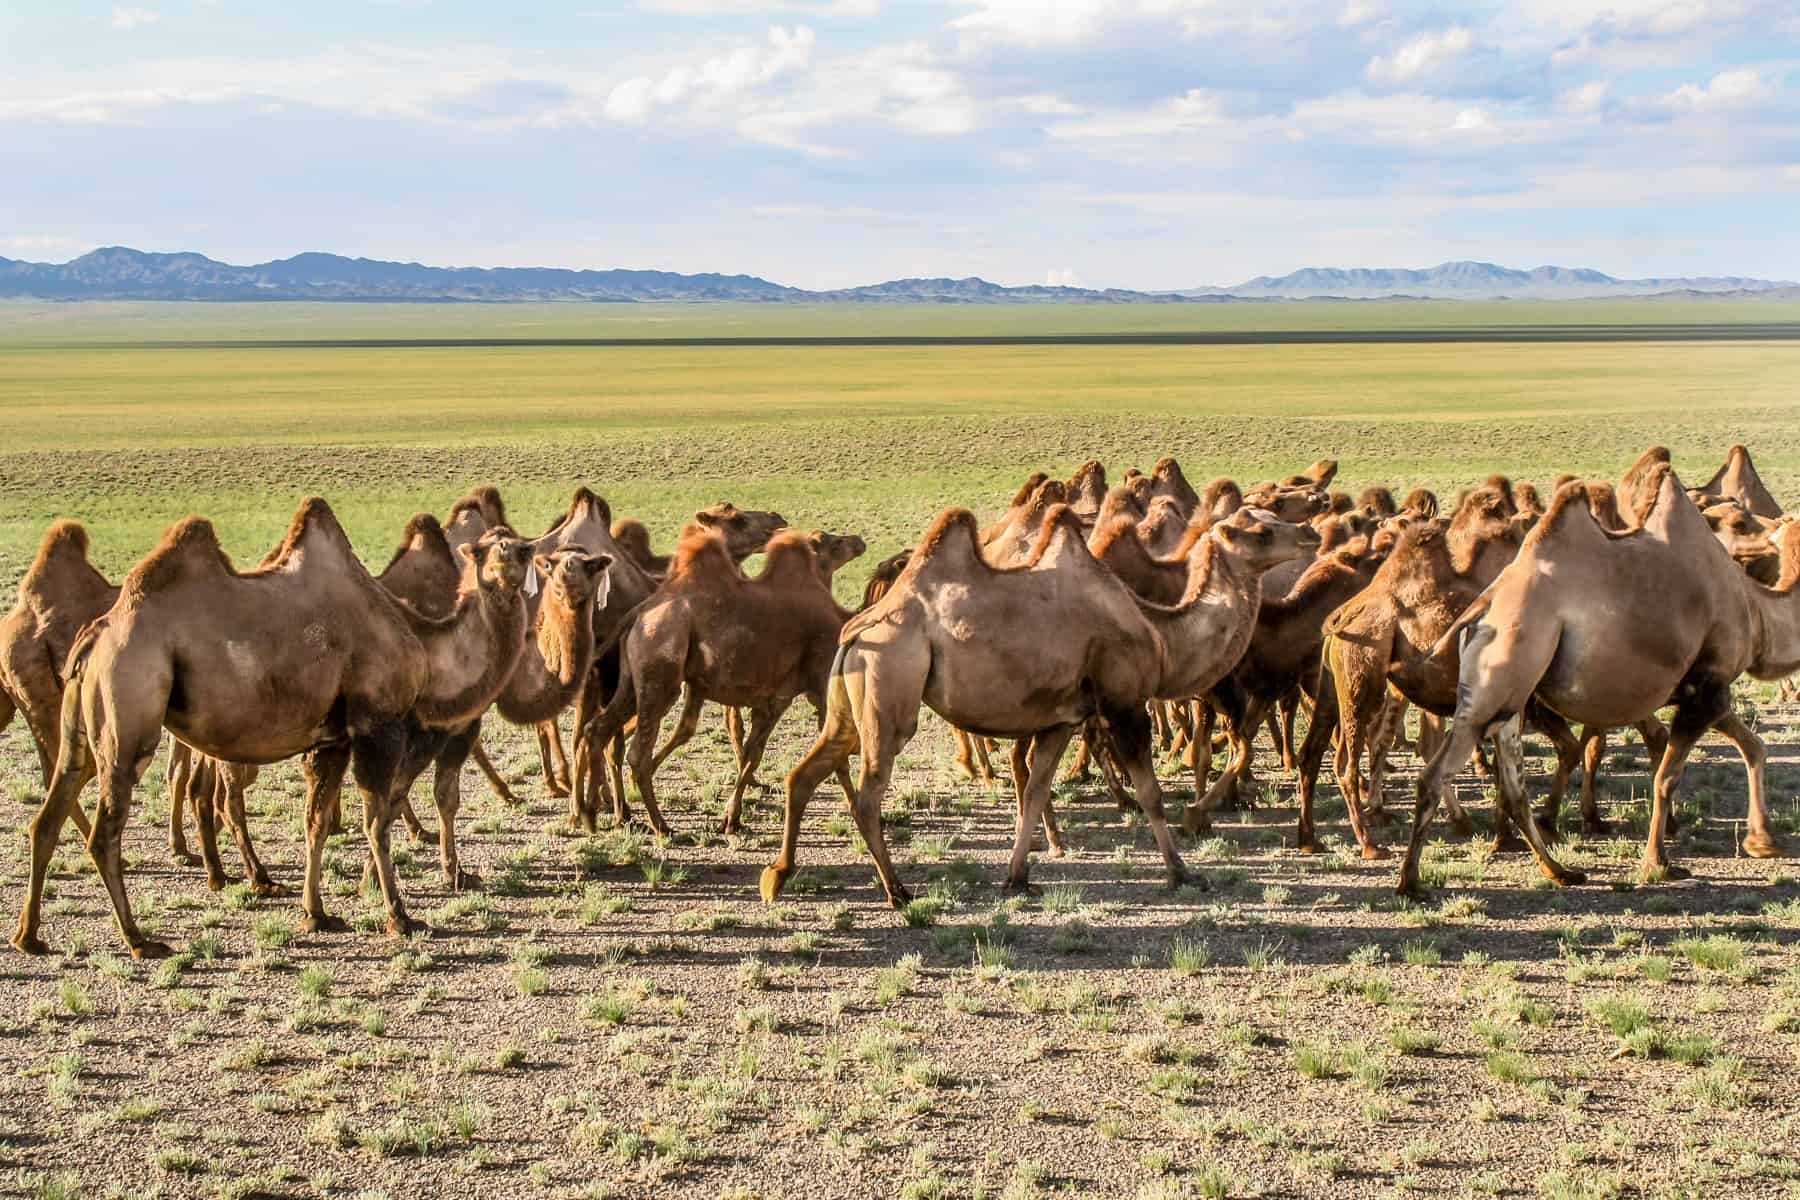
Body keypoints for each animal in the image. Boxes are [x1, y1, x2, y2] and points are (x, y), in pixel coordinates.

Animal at [583, 525, 849, 834]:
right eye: (836, 544)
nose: (859, 542)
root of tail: (638, 614)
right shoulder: (803, 690)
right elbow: (826, 754)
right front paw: (731, 819)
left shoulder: (774, 698)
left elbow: (751, 753)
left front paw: (731, 818)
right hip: (660, 668)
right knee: (637, 752)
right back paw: (660, 825)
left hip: (631, 680)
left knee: (598, 730)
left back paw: (603, 815)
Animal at [752, 503, 1317, 906]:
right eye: (1260, 532)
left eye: (1274, 519)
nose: (1310, 533)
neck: (1159, 635)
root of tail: (858, 628)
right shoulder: (1123, 702)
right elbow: (1151, 793)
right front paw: (1181, 871)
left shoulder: (1061, 720)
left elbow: (1035, 790)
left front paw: (1018, 876)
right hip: (891, 685)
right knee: (868, 792)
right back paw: (897, 892)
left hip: (849, 702)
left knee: (803, 774)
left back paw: (778, 876)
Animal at [1404, 464, 1800, 895]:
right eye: (1741, 522)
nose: (1777, 521)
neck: (1754, 610)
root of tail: (1482, 607)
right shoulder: (1707, 687)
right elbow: (1667, 776)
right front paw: (1658, 863)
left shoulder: (1707, 691)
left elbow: (1754, 747)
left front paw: (1762, 841)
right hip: (1497, 680)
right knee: (1436, 775)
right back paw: (1411, 881)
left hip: (1508, 696)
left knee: (1513, 787)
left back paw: (1559, 871)